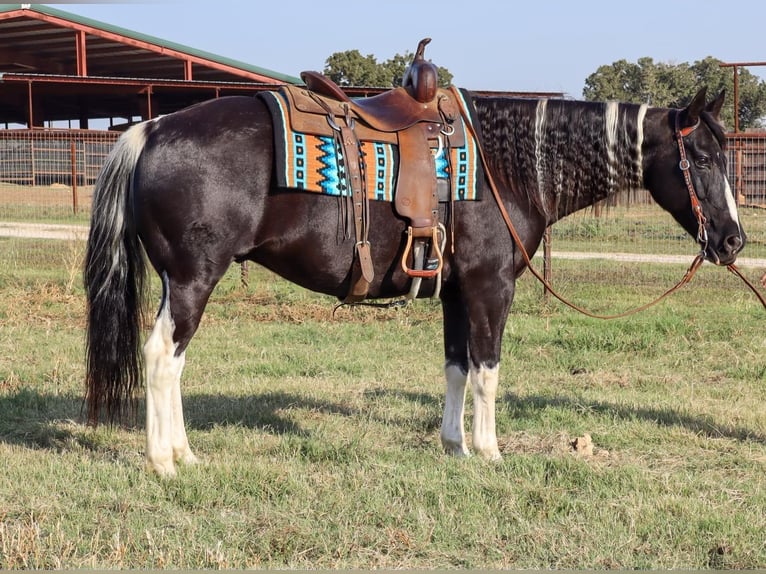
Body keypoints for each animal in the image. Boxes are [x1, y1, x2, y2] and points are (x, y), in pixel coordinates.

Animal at [83, 85, 744, 476]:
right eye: (703, 159)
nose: (734, 241)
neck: (506, 167)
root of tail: (152, 129)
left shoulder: (456, 291)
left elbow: (455, 368)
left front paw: (454, 445)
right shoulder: (490, 287)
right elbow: (487, 371)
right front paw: (489, 451)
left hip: (180, 282)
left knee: (169, 361)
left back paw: (183, 453)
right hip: (193, 280)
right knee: (161, 357)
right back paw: (166, 460)